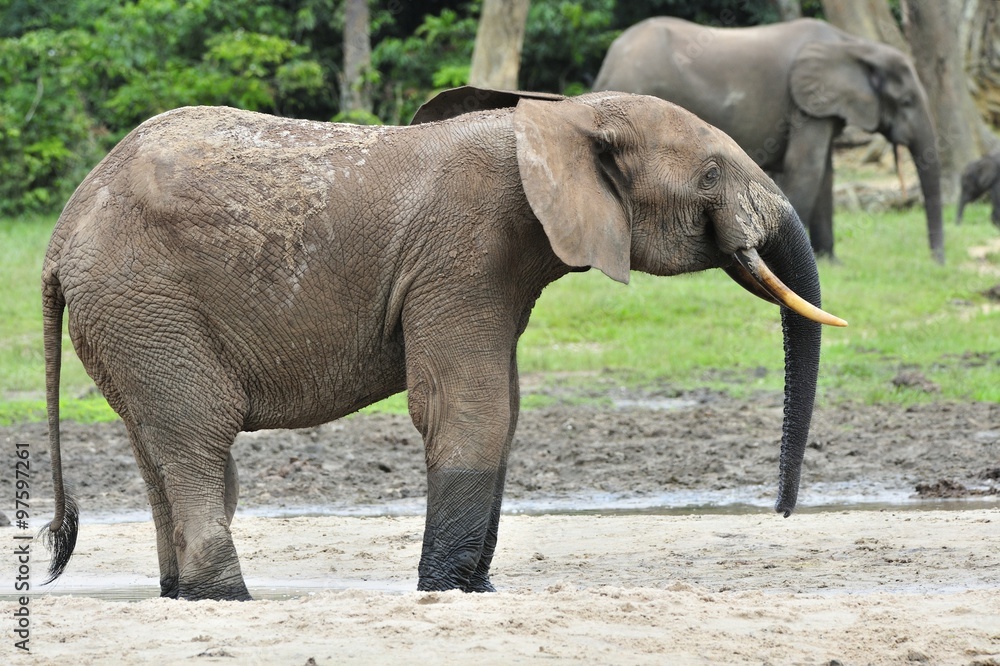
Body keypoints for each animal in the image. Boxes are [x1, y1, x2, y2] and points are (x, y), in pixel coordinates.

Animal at [40, 85, 846, 601]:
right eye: (711, 173)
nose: (780, 514)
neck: (562, 119)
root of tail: (60, 233)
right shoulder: (465, 253)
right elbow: (468, 409)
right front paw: (449, 590)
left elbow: (505, 411)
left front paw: (477, 588)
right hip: (146, 301)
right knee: (198, 438)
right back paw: (226, 598)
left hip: (129, 317)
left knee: (157, 446)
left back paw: (181, 595)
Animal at [593, 17, 945, 263]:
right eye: (906, 101)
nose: (936, 262)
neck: (855, 46)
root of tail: (609, 61)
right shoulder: (806, 104)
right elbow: (807, 168)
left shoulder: (818, 107)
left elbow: (825, 174)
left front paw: (831, 262)